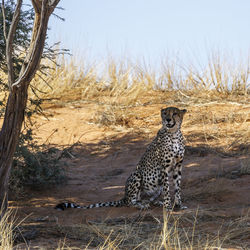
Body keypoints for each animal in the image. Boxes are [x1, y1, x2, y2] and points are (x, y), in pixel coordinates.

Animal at [55, 106, 187, 211]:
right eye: (165, 113)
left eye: (175, 113)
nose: (167, 119)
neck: (174, 134)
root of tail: (124, 196)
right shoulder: (164, 168)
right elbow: (167, 189)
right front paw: (168, 206)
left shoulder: (178, 165)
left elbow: (177, 187)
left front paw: (179, 205)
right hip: (137, 175)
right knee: (130, 202)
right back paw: (141, 205)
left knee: (148, 199)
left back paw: (154, 202)